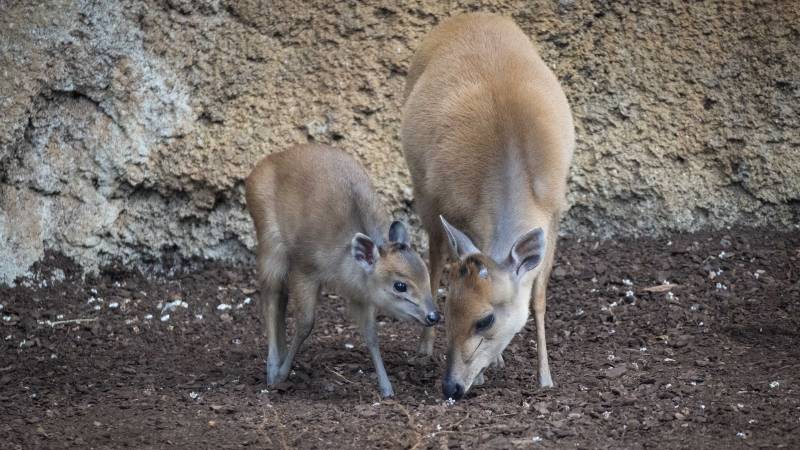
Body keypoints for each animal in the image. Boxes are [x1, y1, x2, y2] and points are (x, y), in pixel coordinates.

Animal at [245, 144, 440, 398]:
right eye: (400, 285)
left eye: (426, 275)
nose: (434, 315)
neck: (344, 262)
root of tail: (260, 167)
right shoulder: (304, 269)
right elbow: (306, 323)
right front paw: (280, 375)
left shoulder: (363, 294)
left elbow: (371, 334)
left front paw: (386, 388)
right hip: (270, 241)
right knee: (270, 297)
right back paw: (272, 368)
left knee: (280, 299)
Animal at [404, 14, 572, 400]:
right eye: (449, 310)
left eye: (485, 319)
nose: (451, 386)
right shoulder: (455, 209)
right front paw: (483, 371)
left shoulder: (555, 212)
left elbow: (538, 297)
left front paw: (545, 376)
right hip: (423, 190)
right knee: (434, 260)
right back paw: (422, 349)